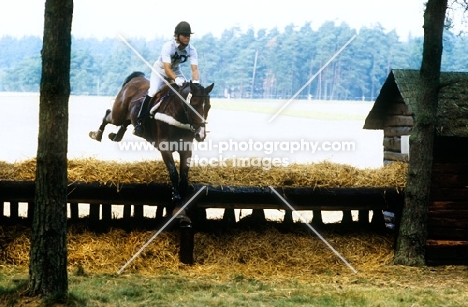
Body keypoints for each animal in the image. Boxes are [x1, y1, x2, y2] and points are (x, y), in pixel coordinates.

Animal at [88, 73, 215, 219]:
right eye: (193, 104)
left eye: (208, 106)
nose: (201, 135)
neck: (177, 114)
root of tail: (135, 78)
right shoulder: (165, 148)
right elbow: (173, 173)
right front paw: (176, 197)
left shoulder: (186, 150)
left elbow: (184, 176)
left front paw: (183, 198)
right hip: (117, 115)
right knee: (108, 115)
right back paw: (96, 134)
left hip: (127, 116)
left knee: (126, 122)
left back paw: (117, 135)